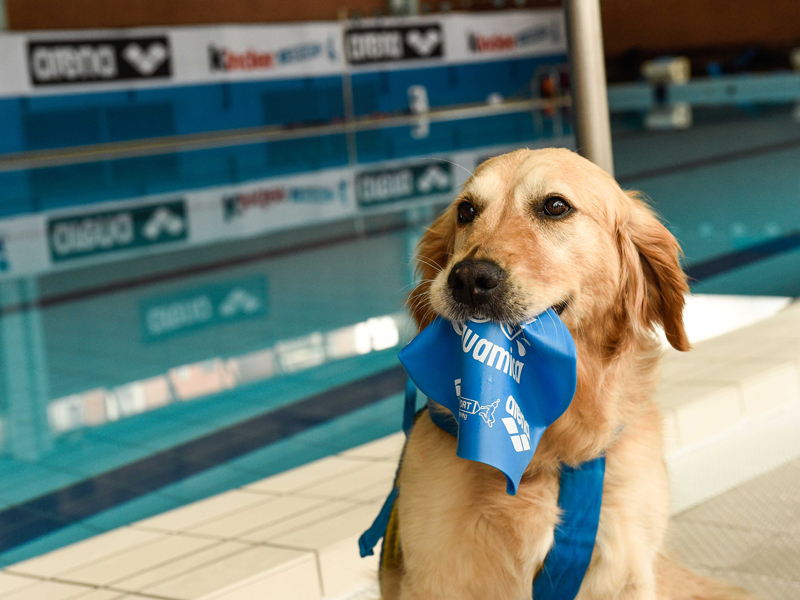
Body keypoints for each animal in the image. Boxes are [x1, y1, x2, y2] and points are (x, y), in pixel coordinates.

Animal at [382, 149, 752, 600]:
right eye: (466, 211)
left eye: (555, 206)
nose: (468, 278)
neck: (550, 450)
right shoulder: (434, 577)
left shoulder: (626, 569)